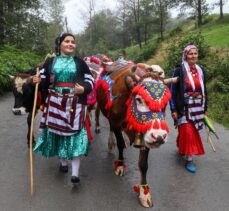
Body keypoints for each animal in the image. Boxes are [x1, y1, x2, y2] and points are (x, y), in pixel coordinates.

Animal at [95, 63, 177, 208]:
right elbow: (120, 144)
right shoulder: (116, 122)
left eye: (165, 103)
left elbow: (143, 164)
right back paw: (110, 143)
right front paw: (120, 165)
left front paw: (144, 193)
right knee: (110, 128)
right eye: (138, 99)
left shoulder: (146, 135)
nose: (159, 137)